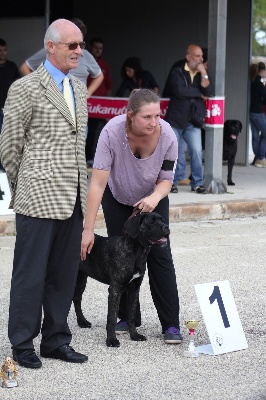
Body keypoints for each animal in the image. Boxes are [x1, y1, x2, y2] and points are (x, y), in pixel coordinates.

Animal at [72, 211, 168, 348]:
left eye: (162, 220)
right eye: (152, 221)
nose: (166, 227)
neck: (137, 251)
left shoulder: (134, 289)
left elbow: (131, 315)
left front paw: (134, 335)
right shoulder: (115, 289)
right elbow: (112, 318)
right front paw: (111, 340)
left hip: (81, 279)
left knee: (76, 299)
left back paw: (82, 321)